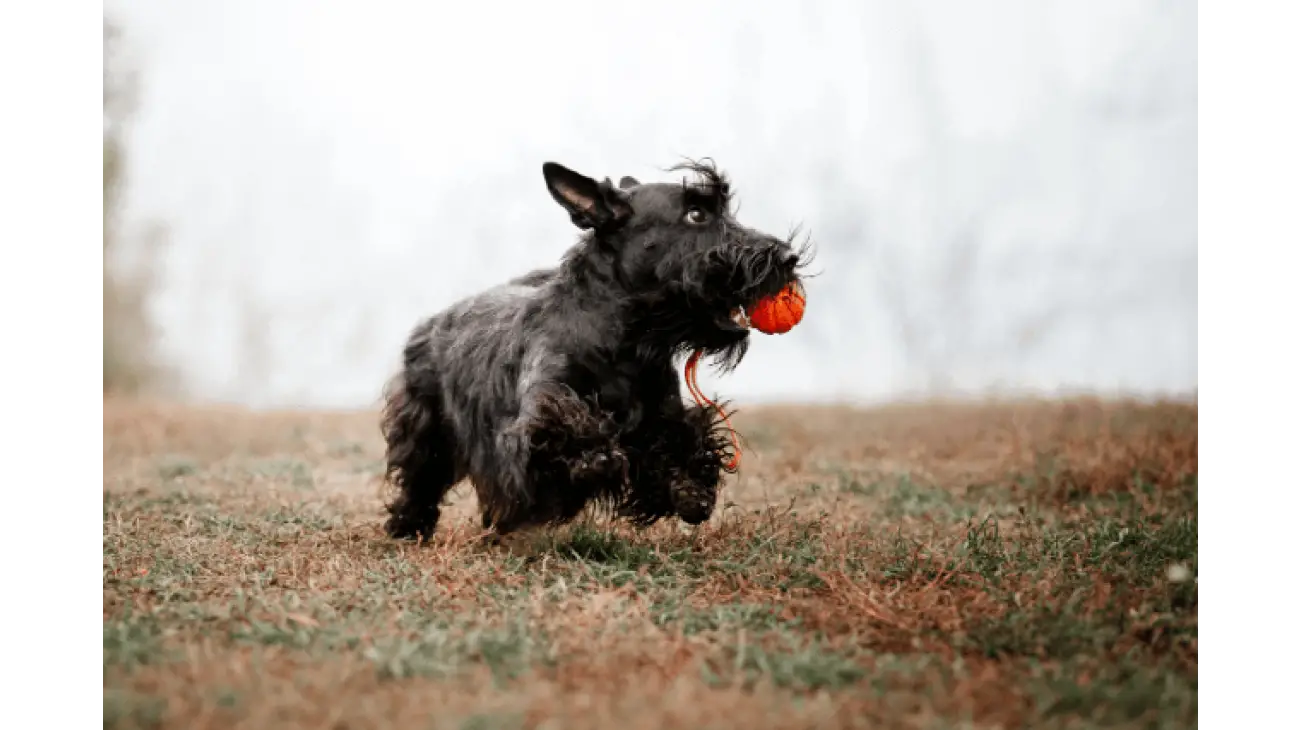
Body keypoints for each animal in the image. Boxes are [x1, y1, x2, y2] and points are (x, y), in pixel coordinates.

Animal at [379, 156, 800, 537]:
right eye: (696, 214)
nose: (788, 257)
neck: (625, 344)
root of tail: (433, 320)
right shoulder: (535, 418)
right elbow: (566, 431)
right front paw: (595, 458)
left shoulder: (663, 417)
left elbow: (682, 441)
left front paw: (690, 491)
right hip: (426, 426)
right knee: (420, 479)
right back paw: (409, 526)